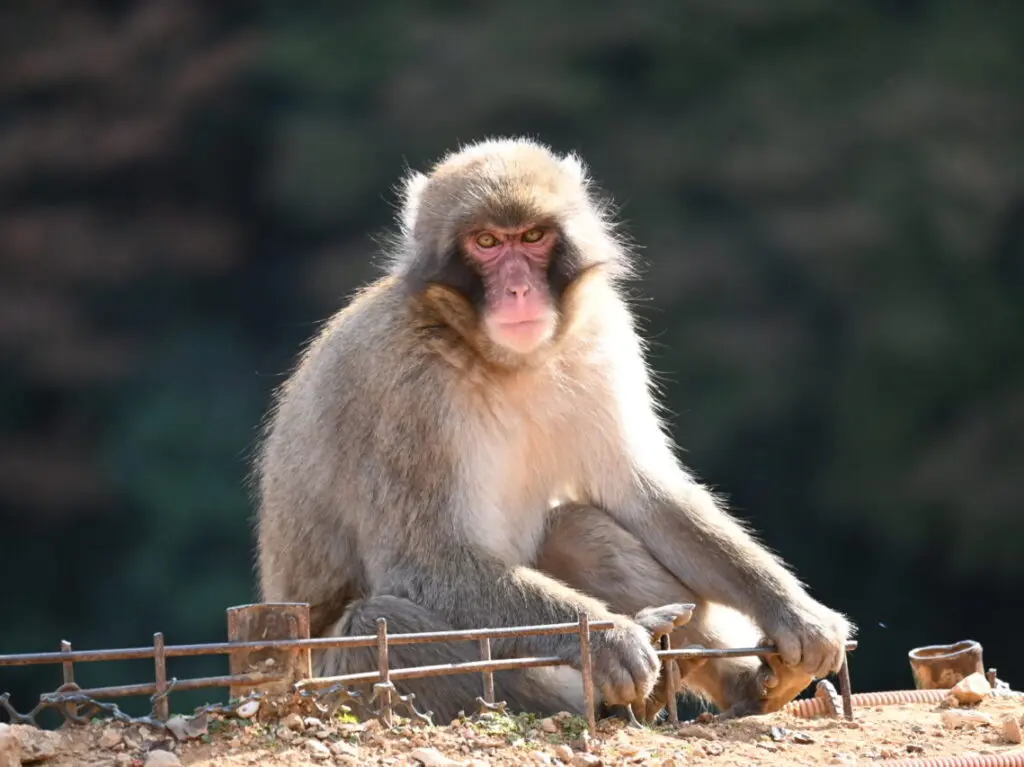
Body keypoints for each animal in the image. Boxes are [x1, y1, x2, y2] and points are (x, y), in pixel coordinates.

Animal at [253, 137, 847, 725]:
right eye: (487, 242)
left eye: (533, 237)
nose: (518, 289)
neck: (499, 358)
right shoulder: (402, 385)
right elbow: (425, 562)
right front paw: (609, 639)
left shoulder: (603, 332)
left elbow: (643, 492)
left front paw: (792, 611)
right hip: (334, 681)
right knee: (382, 625)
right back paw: (609, 701)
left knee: (579, 529)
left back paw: (739, 685)